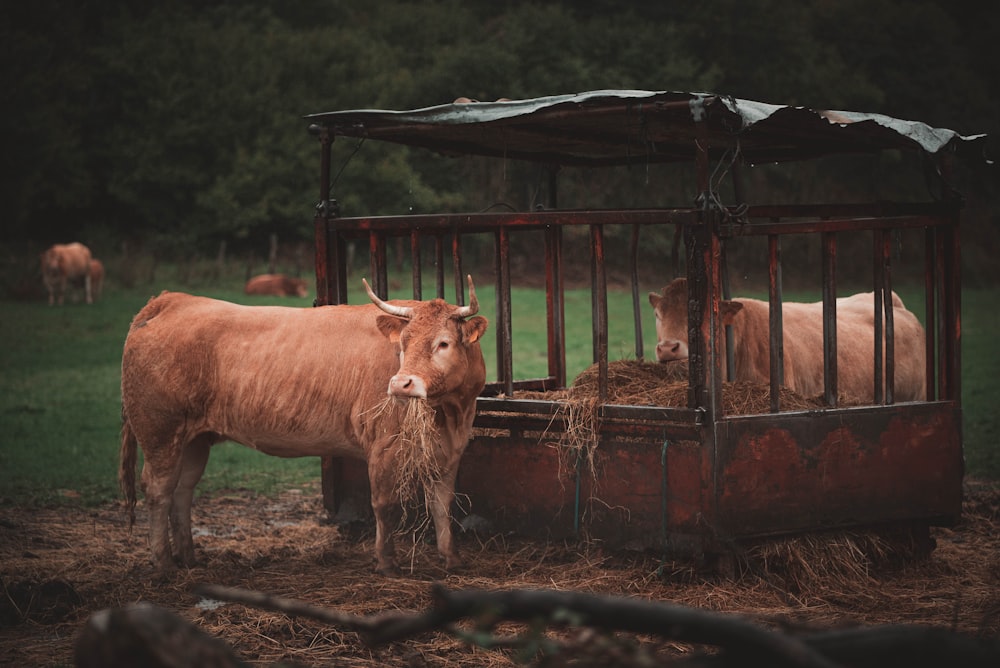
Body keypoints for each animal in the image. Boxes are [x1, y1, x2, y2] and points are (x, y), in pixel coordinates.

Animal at [121, 276, 488, 576]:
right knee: (158, 489)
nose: (400, 384)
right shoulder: (383, 446)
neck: (451, 413)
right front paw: (386, 563)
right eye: (404, 343)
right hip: (160, 432)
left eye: (443, 342)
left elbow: (442, 503)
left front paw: (452, 558)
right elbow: (385, 505)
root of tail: (171, 300)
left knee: (183, 490)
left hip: (194, 440)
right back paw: (164, 564)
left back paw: (189, 557)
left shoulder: (450, 449)